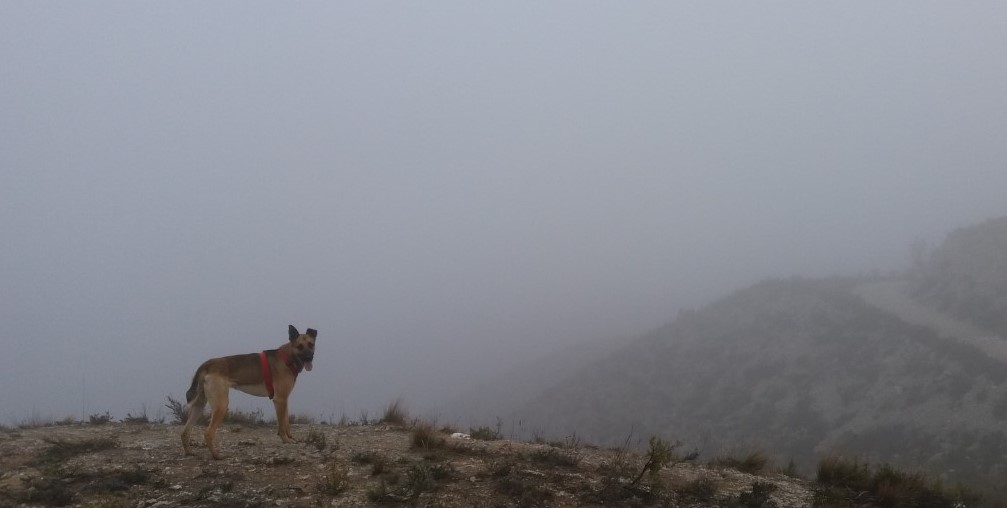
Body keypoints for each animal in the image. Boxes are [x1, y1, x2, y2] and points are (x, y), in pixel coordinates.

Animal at [180, 324, 314, 459]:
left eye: (311, 344)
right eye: (299, 346)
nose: (310, 358)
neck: (287, 357)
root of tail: (208, 364)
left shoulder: (284, 399)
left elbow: (286, 421)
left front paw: (290, 437)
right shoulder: (280, 399)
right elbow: (282, 424)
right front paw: (285, 440)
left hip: (199, 405)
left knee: (185, 431)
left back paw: (189, 452)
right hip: (221, 405)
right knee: (208, 433)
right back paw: (217, 455)